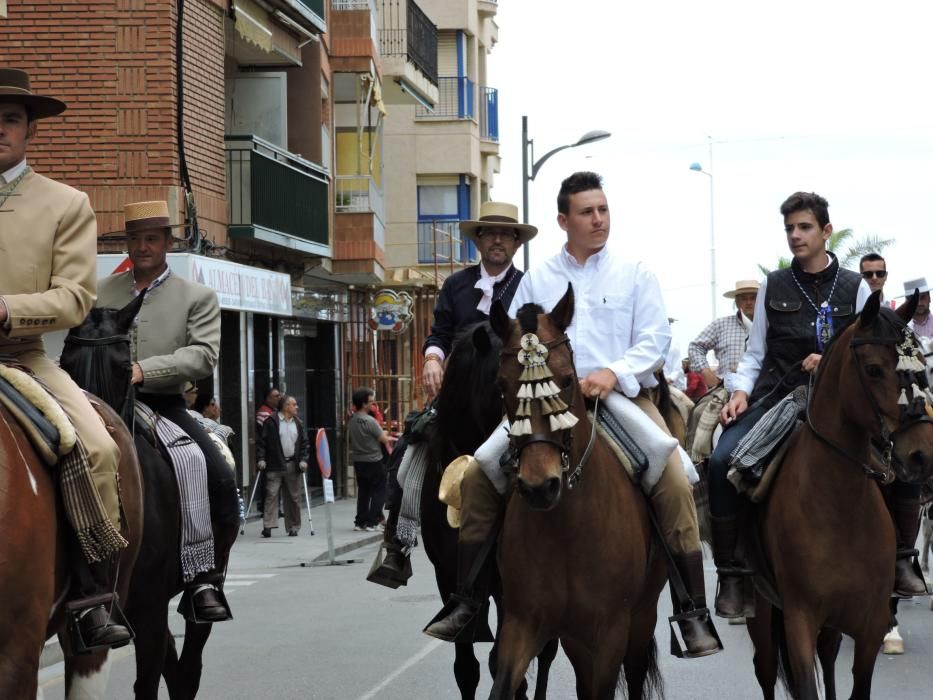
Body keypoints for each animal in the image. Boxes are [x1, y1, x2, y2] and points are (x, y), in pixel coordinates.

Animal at [418, 322, 556, 696]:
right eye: (500, 385)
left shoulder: (512, 584)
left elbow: (505, 663)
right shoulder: (448, 574)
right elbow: (467, 667)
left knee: (547, 652)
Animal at [488, 286, 668, 700]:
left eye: (568, 379)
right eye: (502, 386)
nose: (540, 486)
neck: (566, 529)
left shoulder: (611, 632)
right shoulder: (523, 623)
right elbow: (503, 684)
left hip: (642, 617)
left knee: (635, 674)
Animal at [748, 292, 932, 700]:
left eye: (923, 368)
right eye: (874, 369)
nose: (922, 454)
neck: (838, 506)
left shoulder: (869, 623)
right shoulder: (799, 619)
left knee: (829, 657)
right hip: (763, 613)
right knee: (765, 669)